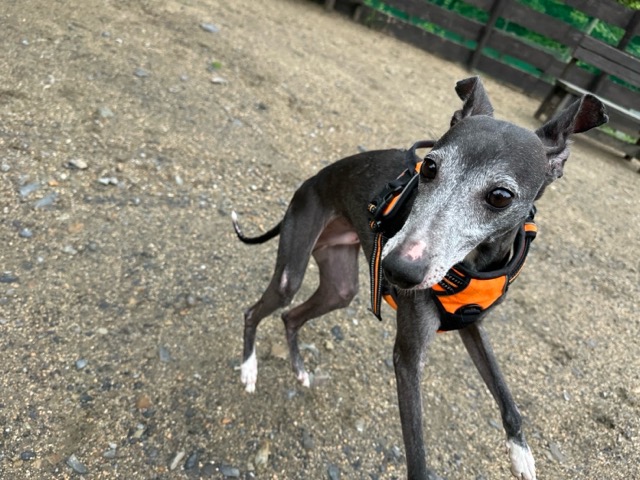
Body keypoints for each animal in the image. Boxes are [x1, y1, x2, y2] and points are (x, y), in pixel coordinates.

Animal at [231, 76, 607, 479]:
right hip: (293, 269)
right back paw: (249, 369)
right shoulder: (408, 359)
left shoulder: (472, 324)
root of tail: (312, 181)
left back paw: (299, 369)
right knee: (256, 311)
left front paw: (521, 454)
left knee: (291, 317)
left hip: (340, 288)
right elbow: (418, 458)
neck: (475, 265)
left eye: (501, 196)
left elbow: (506, 394)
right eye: (428, 167)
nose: (398, 270)